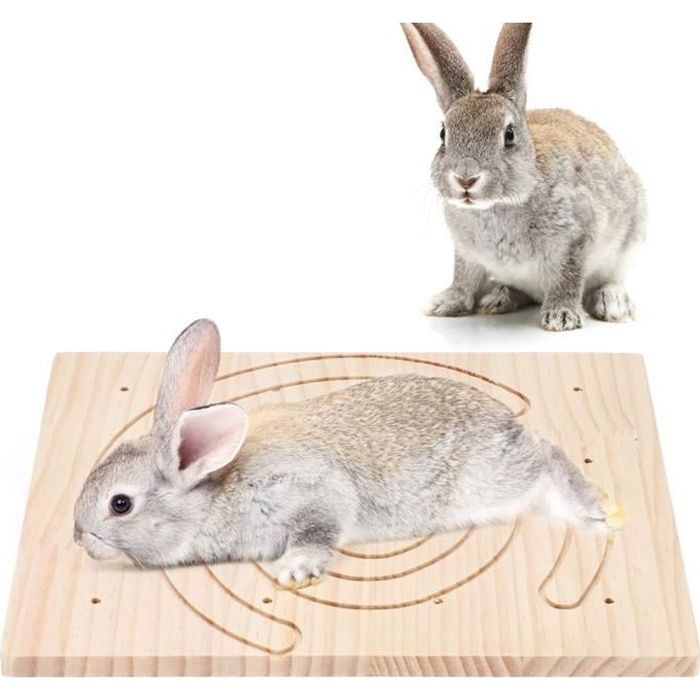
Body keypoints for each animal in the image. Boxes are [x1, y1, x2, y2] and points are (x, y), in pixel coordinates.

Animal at [74, 319, 624, 588]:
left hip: (491, 481)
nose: (80, 539)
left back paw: (597, 512)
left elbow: (319, 532)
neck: (215, 488)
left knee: (548, 459)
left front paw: (296, 571)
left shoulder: (311, 493)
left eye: (120, 504)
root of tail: (506, 423)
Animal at [401, 23, 645, 331]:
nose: (465, 178)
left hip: (631, 238)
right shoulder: (466, 254)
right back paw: (499, 297)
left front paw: (561, 316)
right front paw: (445, 303)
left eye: (509, 135)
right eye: (443, 134)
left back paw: (611, 303)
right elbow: (464, 278)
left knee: (612, 279)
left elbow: (567, 279)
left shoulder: (575, 240)